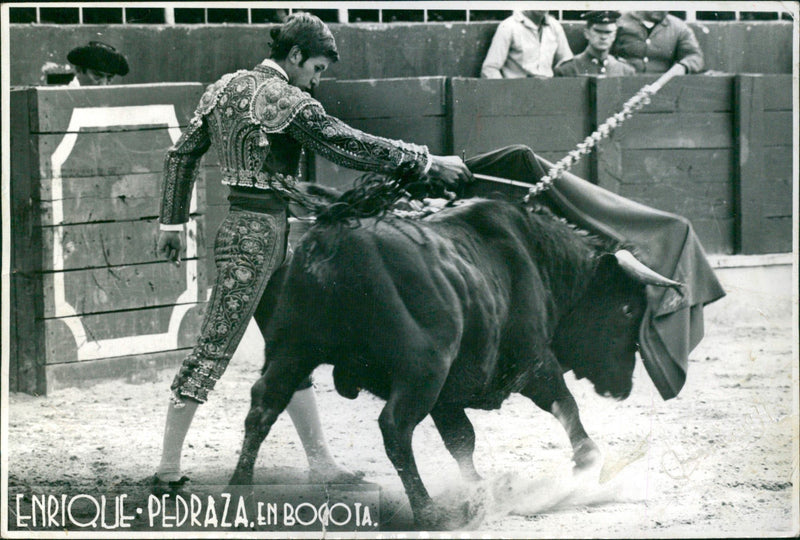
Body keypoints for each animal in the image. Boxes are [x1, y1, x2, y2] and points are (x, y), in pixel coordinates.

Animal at [230, 196, 680, 524]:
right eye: (627, 310)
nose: (623, 388)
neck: (539, 260)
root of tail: (332, 246)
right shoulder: (533, 361)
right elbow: (566, 408)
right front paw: (587, 470)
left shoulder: (448, 397)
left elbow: (462, 439)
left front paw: (481, 490)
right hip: (422, 369)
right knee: (394, 427)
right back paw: (428, 510)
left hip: (292, 350)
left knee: (264, 405)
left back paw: (240, 490)